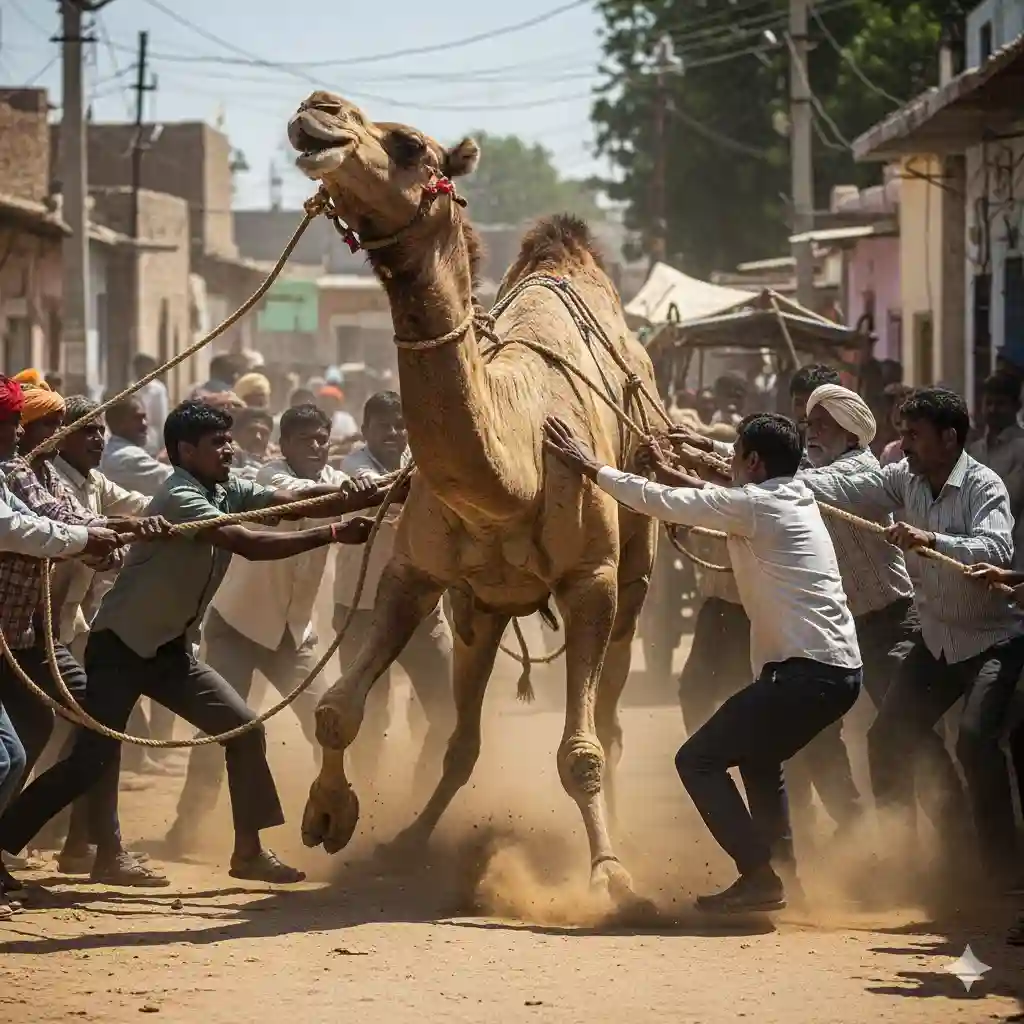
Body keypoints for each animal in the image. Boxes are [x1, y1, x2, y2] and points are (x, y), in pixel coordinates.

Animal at [288, 91, 661, 899]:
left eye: (407, 145)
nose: (317, 109)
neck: (516, 464)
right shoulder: (417, 572)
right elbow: (338, 709)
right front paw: (331, 816)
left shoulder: (591, 580)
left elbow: (580, 750)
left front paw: (609, 874)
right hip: (481, 612)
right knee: (462, 737)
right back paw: (412, 839)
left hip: (634, 575)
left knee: (612, 722)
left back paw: (619, 841)